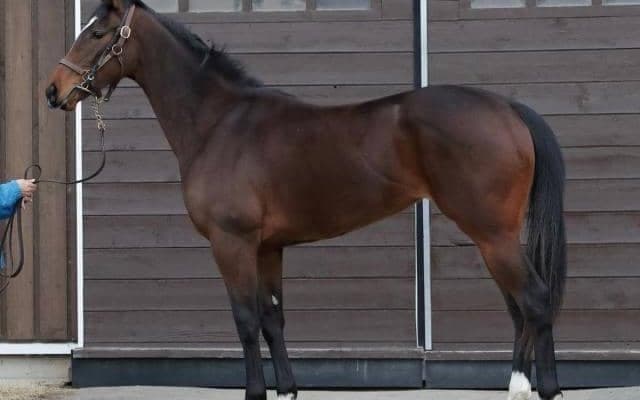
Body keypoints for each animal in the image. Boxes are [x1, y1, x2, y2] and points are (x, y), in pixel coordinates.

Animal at [46, 1, 567, 400]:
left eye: (97, 33)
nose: (54, 91)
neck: (220, 123)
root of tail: (507, 108)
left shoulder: (231, 243)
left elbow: (245, 319)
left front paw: (256, 391)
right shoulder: (268, 247)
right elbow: (273, 318)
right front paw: (288, 389)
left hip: (492, 235)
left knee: (534, 300)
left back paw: (536, 386)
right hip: (497, 237)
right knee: (522, 308)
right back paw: (528, 385)